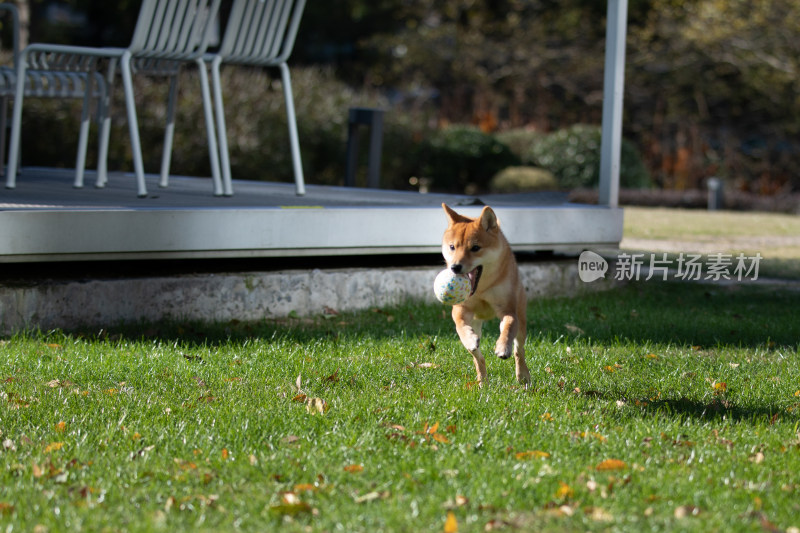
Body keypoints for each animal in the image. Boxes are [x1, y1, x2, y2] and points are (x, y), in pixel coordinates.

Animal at [440, 205, 528, 386]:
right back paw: (483, 381)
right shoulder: (461, 309)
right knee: (478, 358)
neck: (482, 288)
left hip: (521, 319)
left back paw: (523, 375)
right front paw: (469, 338)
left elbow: (508, 326)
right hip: (476, 325)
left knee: (519, 350)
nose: (455, 267)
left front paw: (502, 347)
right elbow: (460, 325)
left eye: (475, 248)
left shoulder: (508, 309)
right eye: (452, 247)